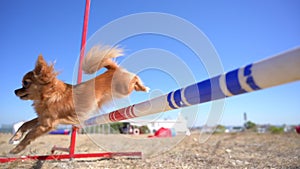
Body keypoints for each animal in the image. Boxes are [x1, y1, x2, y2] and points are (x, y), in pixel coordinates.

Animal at [9, 45, 149, 154]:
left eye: (26, 83)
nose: (15, 91)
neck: (51, 94)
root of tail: (113, 70)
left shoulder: (46, 124)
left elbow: (29, 135)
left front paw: (15, 150)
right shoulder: (42, 118)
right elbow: (25, 124)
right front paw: (15, 137)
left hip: (124, 88)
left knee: (135, 78)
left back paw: (144, 87)